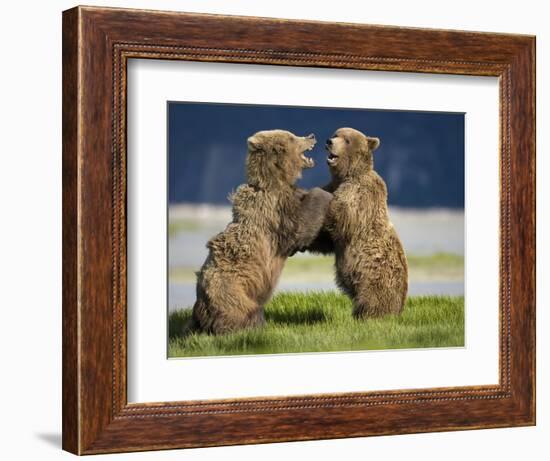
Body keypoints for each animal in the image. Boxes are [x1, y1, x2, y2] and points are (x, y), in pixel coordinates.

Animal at [190, 127, 334, 332]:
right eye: (292, 137)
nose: (311, 136)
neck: (276, 182)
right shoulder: (275, 211)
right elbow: (300, 226)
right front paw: (325, 193)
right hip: (232, 292)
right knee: (244, 313)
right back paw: (253, 327)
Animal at [308, 127, 408, 318]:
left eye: (347, 140)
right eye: (336, 134)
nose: (329, 141)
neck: (346, 176)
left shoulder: (360, 194)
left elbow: (343, 216)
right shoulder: (334, 185)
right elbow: (328, 239)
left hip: (374, 278)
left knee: (371, 301)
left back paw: (365, 316)